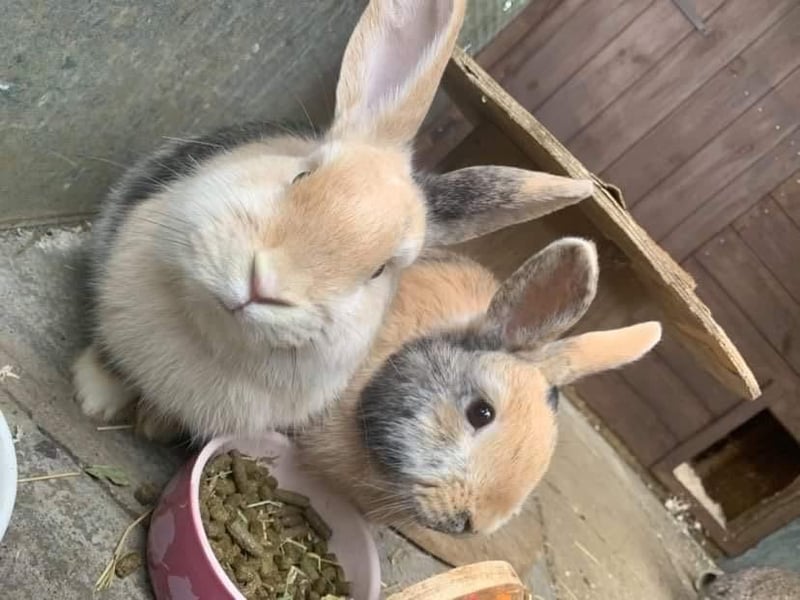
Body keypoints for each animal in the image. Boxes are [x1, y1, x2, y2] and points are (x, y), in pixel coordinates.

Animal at [71, 0, 595, 441]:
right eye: (302, 173)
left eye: (380, 271)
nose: (263, 285)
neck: (210, 334)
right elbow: (110, 355)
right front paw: (93, 397)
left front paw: (152, 423)